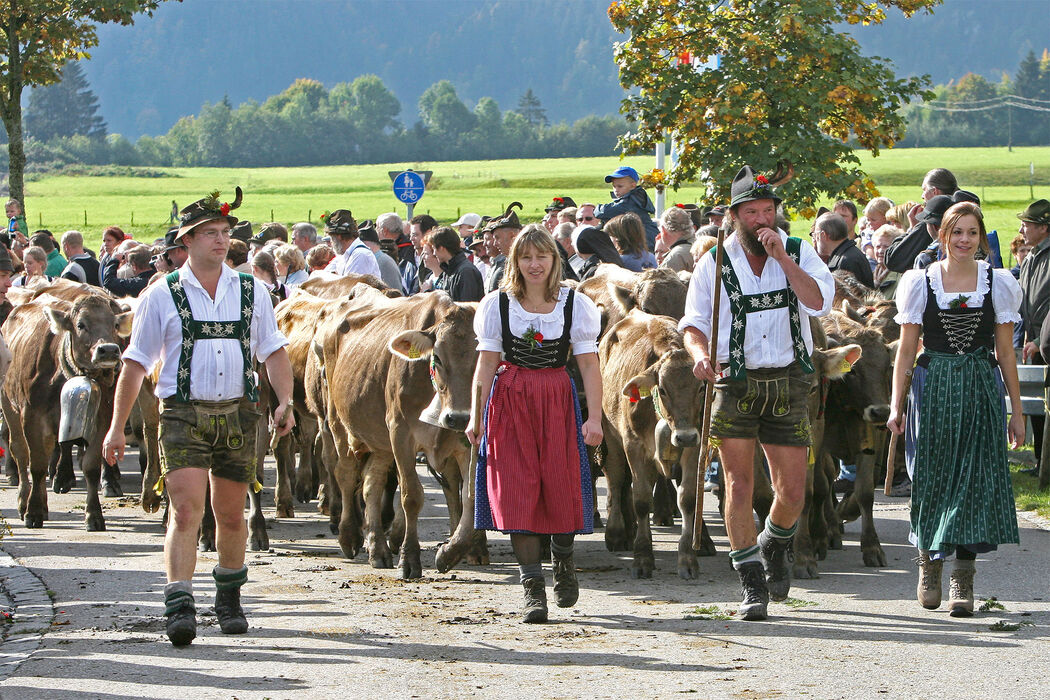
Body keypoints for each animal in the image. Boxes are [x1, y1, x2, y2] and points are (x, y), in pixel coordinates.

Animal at [1, 287, 131, 528]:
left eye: (115, 324)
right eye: (81, 324)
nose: (108, 350)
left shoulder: (102, 417)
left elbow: (90, 466)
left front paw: (94, 514)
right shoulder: (31, 416)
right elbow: (37, 464)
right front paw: (32, 512)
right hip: (9, 406)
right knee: (21, 454)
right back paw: (24, 501)